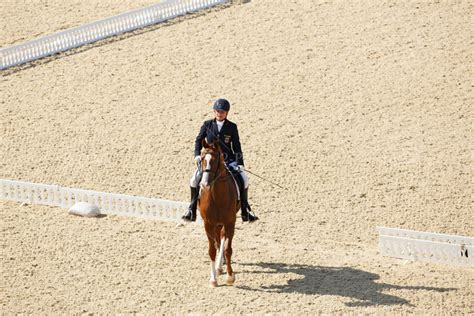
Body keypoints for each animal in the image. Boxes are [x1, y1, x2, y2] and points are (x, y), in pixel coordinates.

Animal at [198, 138, 239, 286]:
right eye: (202, 158)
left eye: (215, 160)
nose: (204, 184)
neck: (217, 196)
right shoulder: (208, 224)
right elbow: (211, 250)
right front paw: (213, 279)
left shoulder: (230, 222)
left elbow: (227, 249)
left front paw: (230, 277)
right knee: (217, 240)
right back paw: (218, 267)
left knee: (221, 238)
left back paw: (221, 267)